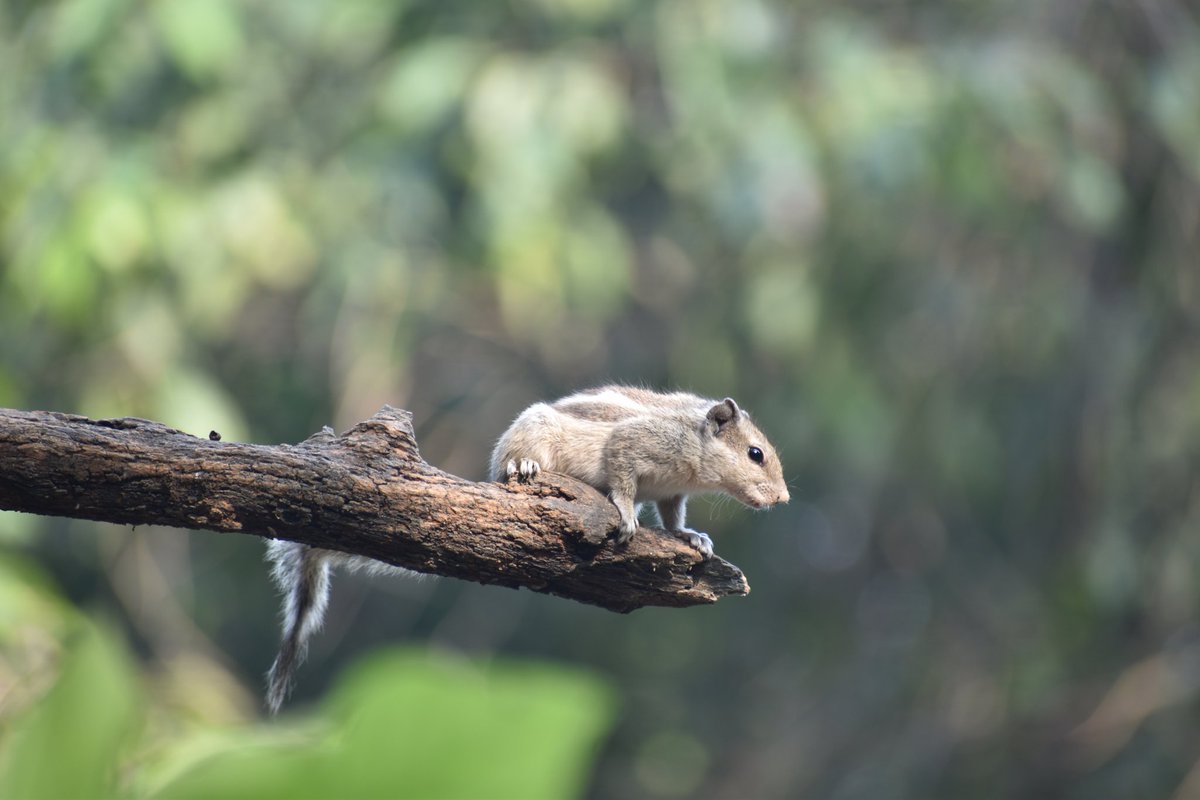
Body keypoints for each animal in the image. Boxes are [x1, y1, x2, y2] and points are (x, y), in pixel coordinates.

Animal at [264, 386, 788, 714]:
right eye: (755, 454)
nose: (783, 499)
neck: (694, 444)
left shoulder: (671, 491)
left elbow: (673, 516)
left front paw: (691, 537)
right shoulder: (635, 446)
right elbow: (623, 480)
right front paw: (625, 513)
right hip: (529, 436)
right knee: (515, 464)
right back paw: (526, 466)